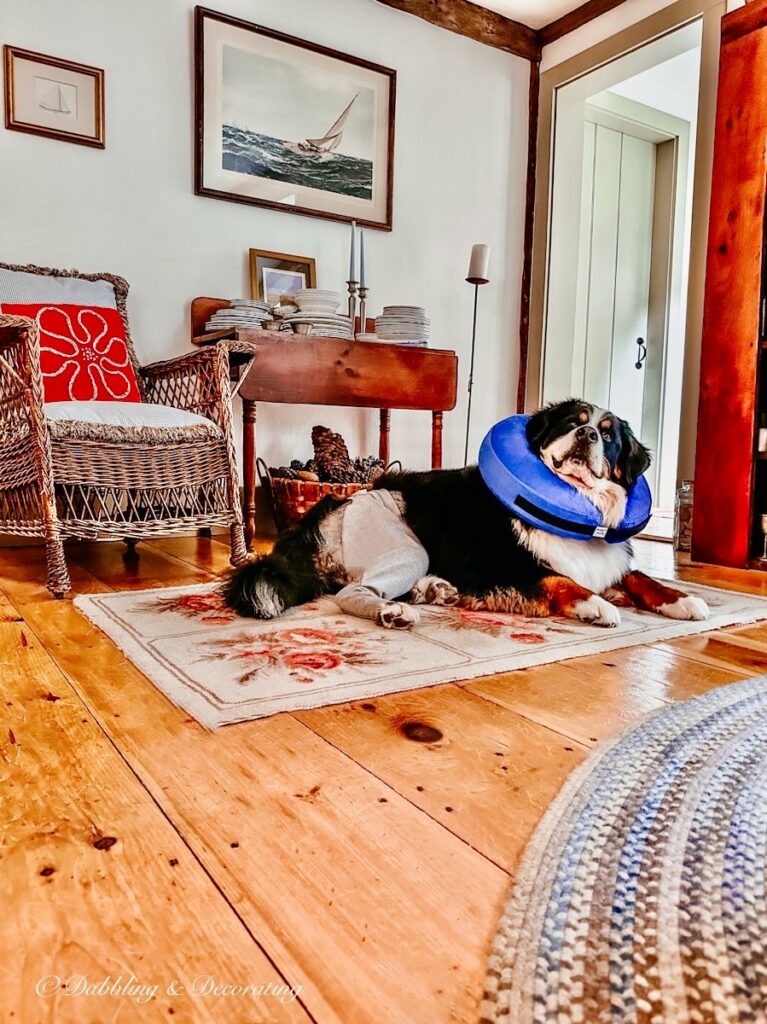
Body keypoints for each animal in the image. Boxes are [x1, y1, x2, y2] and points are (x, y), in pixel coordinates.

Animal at [224, 397, 708, 622]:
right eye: (574, 423)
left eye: (608, 436)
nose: (587, 435)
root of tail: (336, 505)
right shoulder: (501, 564)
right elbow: (559, 578)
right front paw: (595, 604)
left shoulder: (608, 559)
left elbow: (642, 576)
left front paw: (684, 600)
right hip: (405, 542)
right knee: (352, 593)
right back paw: (396, 612)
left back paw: (435, 590)